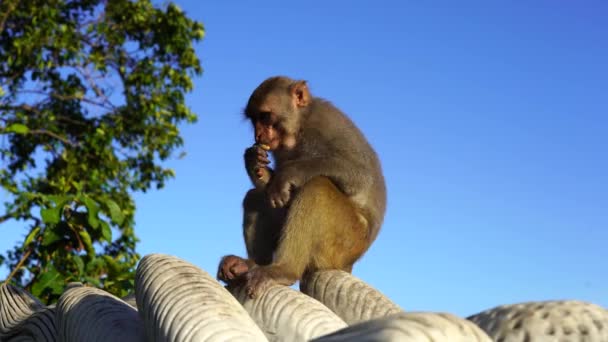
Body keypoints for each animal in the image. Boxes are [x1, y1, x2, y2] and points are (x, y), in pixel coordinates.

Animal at [218, 76, 388, 298]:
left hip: (345, 243)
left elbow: (360, 175)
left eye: (265, 117)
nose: (258, 135)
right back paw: (251, 264)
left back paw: (284, 270)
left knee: (317, 188)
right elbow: (272, 190)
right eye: (254, 120)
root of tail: (350, 263)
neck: (298, 128)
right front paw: (254, 162)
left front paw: (290, 173)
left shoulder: (325, 123)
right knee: (256, 197)